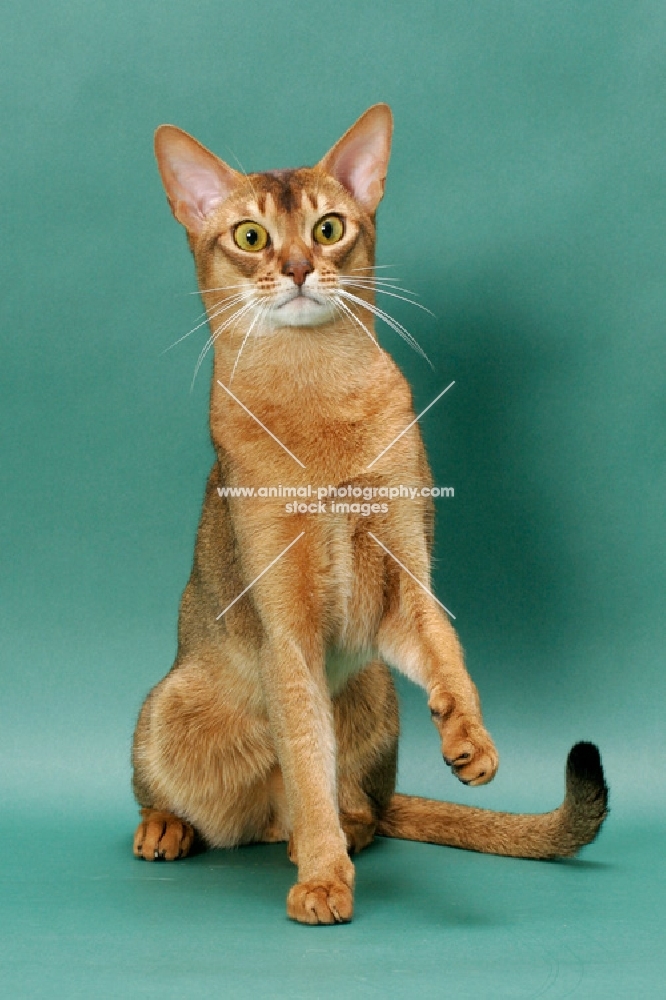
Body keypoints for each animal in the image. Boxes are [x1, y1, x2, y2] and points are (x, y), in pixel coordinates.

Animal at [131, 105, 608, 924]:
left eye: (328, 229)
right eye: (250, 236)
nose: (297, 268)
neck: (317, 399)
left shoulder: (401, 574)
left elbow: (446, 648)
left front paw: (468, 735)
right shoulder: (285, 626)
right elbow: (305, 754)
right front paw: (323, 883)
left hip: (374, 688)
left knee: (363, 807)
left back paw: (340, 828)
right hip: (170, 704)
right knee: (215, 794)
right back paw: (178, 828)